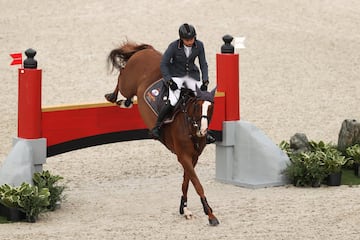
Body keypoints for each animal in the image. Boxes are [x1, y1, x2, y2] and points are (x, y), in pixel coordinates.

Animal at [102, 40, 218, 225]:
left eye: (211, 107)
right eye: (198, 106)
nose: (203, 130)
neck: (189, 126)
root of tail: (146, 51)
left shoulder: (193, 157)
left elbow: (187, 181)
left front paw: (185, 209)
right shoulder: (183, 156)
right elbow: (197, 183)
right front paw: (210, 215)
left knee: (127, 93)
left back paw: (125, 102)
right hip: (128, 83)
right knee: (121, 76)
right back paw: (112, 97)